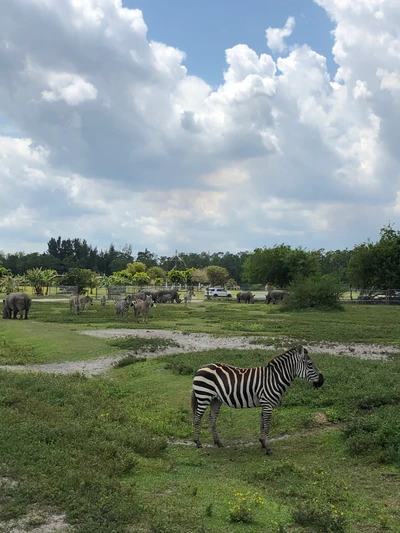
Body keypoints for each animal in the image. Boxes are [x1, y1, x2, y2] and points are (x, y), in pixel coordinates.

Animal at [191, 348, 324, 456]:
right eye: (310, 364)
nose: (322, 381)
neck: (274, 378)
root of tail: (200, 368)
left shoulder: (265, 403)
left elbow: (262, 424)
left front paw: (263, 443)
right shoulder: (268, 404)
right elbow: (267, 426)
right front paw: (268, 449)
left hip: (215, 400)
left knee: (212, 419)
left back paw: (218, 442)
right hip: (204, 396)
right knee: (197, 418)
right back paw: (198, 443)